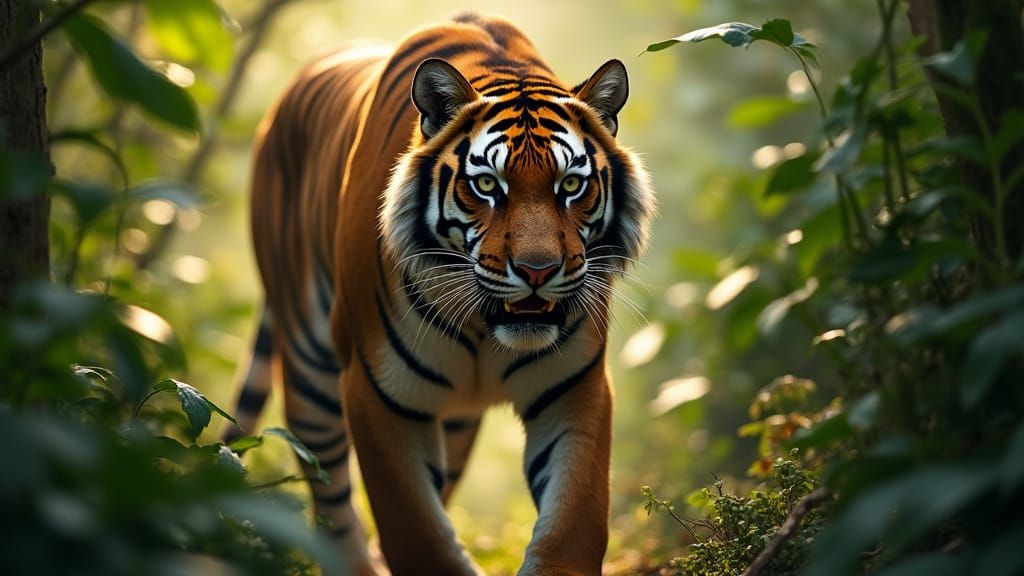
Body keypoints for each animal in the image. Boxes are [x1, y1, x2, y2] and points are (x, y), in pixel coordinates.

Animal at [225, 12, 654, 576]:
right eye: (488, 185)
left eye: (571, 185)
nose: (537, 271)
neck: (485, 329)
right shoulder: (377, 391)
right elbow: (416, 532)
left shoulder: (574, 389)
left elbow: (572, 526)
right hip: (309, 366)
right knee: (332, 504)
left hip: (455, 420)